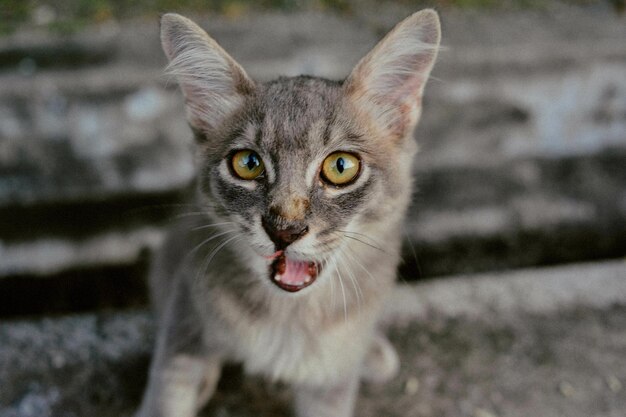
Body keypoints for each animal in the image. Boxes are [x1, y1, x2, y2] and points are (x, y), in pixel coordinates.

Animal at [136, 9, 438, 416]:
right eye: (247, 163)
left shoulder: (330, 383)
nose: (284, 230)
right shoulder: (183, 322)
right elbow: (168, 392)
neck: (288, 315)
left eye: (341, 166)